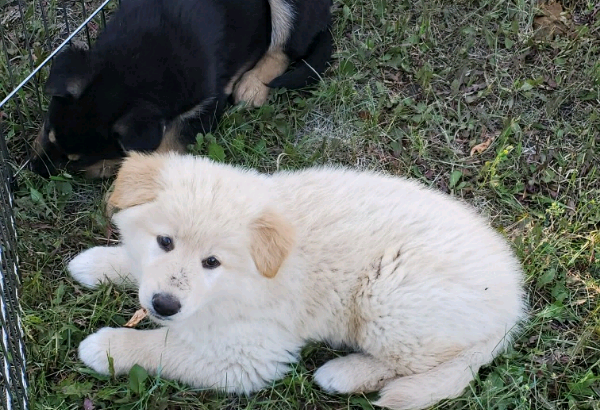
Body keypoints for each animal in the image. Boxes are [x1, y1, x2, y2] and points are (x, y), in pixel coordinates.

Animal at [31, 0, 332, 178]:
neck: (137, 62)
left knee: (283, 48)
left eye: (76, 161)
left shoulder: (206, 104)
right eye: (48, 131)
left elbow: (166, 146)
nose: (35, 170)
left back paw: (253, 85)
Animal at [69, 152, 524, 408]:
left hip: (389, 298)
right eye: (164, 241)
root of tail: (513, 304)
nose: (164, 305)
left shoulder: (249, 353)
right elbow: (136, 265)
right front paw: (97, 264)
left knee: (419, 363)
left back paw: (343, 373)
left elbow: (166, 348)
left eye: (212, 262)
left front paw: (107, 348)